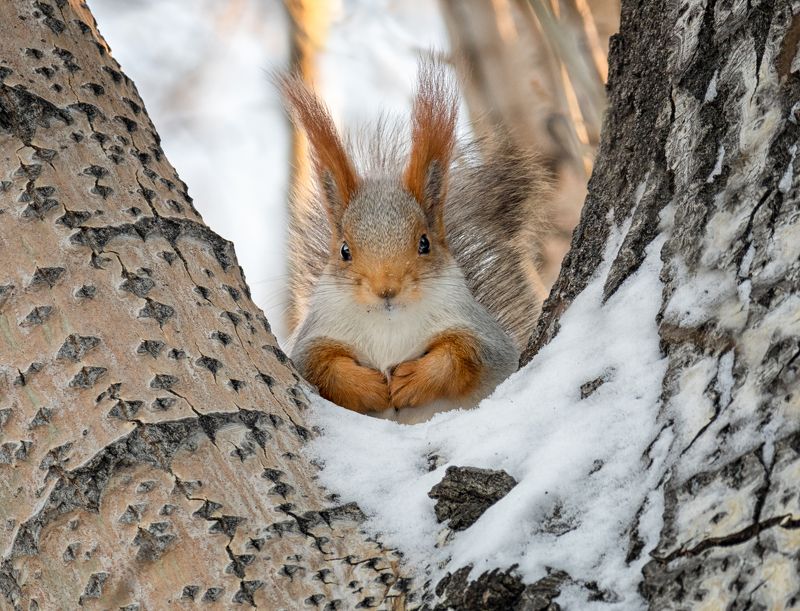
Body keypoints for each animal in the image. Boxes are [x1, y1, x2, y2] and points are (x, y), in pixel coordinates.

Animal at [280, 59, 548, 424]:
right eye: (344, 251)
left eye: (424, 243)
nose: (387, 289)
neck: (389, 325)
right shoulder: (313, 341)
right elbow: (321, 366)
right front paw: (369, 387)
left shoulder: (484, 338)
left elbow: (465, 356)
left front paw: (414, 380)